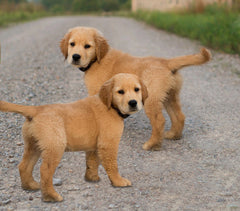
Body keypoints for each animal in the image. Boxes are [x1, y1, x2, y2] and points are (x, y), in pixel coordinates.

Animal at [0, 73, 148, 202]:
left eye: (136, 89)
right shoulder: (108, 144)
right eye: (120, 92)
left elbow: (92, 162)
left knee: (23, 165)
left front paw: (92, 178)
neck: (110, 106)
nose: (133, 103)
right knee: (45, 171)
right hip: (55, 146)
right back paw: (51, 197)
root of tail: (36, 109)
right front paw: (118, 181)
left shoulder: (93, 146)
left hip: (34, 145)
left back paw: (30, 186)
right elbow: (112, 165)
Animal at [60, 27, 212, 151]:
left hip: (151, 99)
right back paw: (174, 135)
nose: (75, 57)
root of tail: (166, 62)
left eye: (87, 46)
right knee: (179, 116)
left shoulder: (96, 92)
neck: (98, 58)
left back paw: (152, 144)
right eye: (72, 44)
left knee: (159, 121)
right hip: (170, 96)